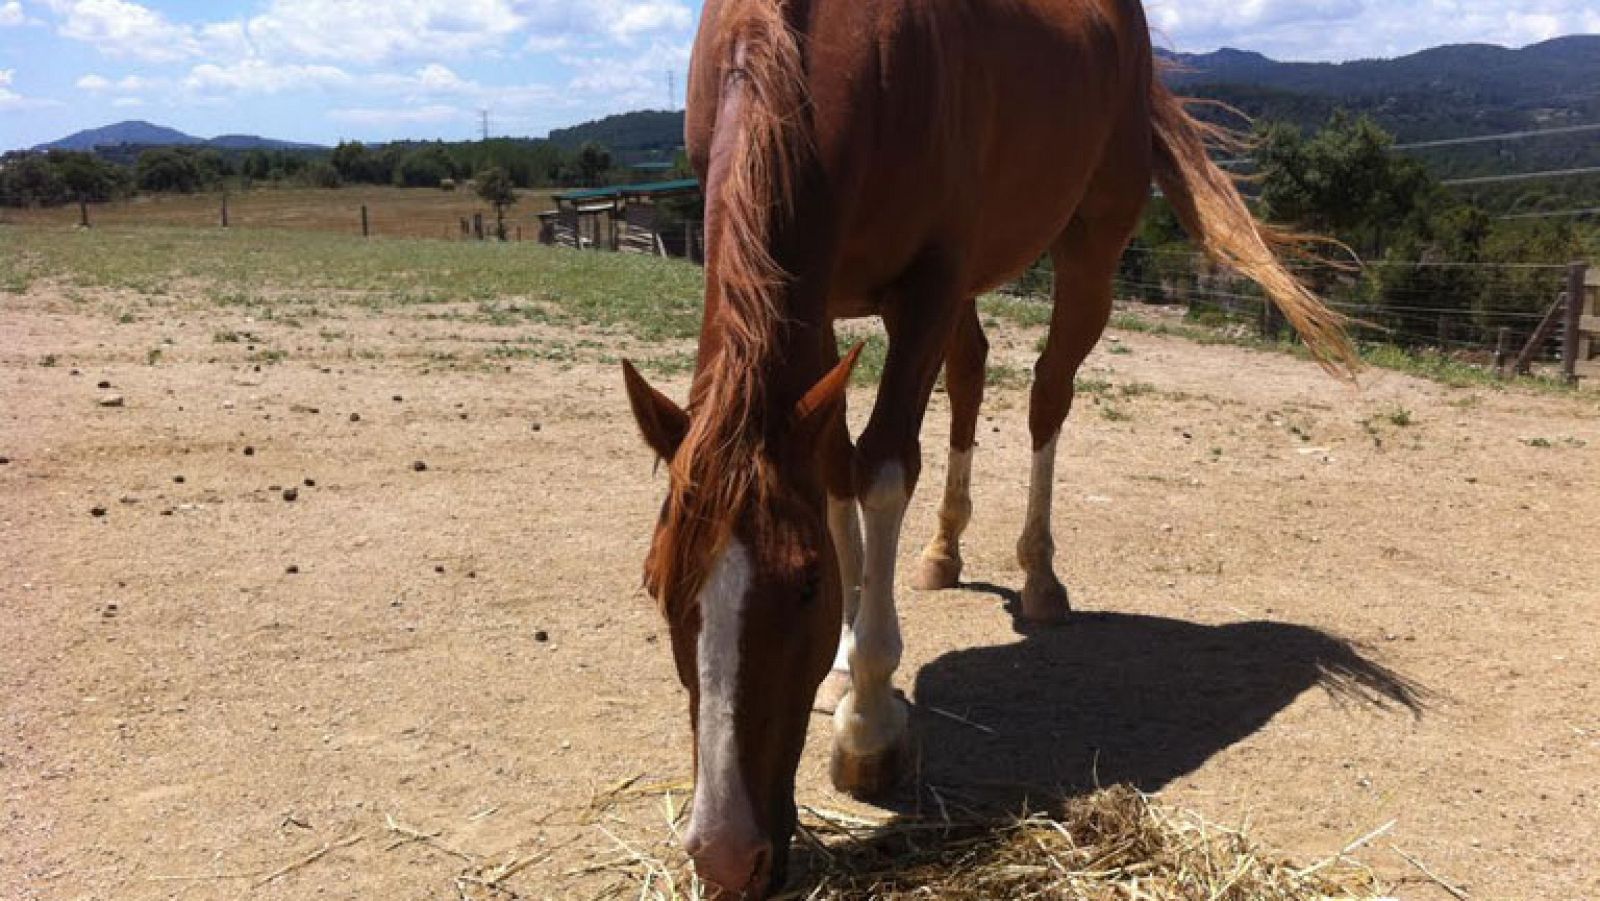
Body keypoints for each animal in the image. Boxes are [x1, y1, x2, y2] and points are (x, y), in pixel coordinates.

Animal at [620, 0, 1358, 893]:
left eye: (803, 587)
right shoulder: (818, 298)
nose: (729, 857)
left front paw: (870, 722)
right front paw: (847, 657)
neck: (828, 49)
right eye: (657, 585)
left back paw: (1039, 576)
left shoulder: (927, 285)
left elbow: (881, 470)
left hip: (1088, 249)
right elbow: (833, 470)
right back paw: (944, 549)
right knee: (970, 375)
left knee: (1047, 395)